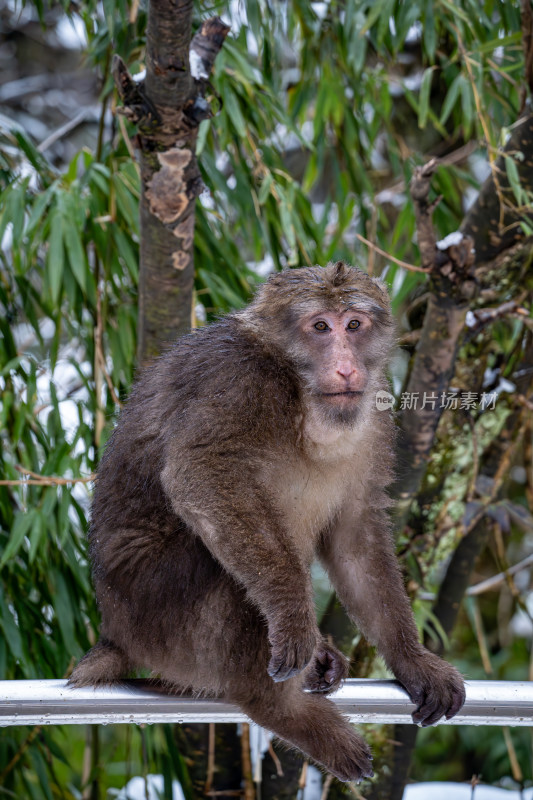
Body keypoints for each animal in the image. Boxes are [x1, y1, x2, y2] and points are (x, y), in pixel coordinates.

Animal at [68, 260, 464, 780]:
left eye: (354, 325)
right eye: (320, 327)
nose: (346, 366)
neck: (298, 390)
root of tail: (114, 634)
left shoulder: (374, 412)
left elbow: (355, 534)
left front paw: (413, 660)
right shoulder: (239, 381)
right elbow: (202, 475)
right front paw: (295, 616)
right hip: (157, 618)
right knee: (223, 559)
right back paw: (280, 707)